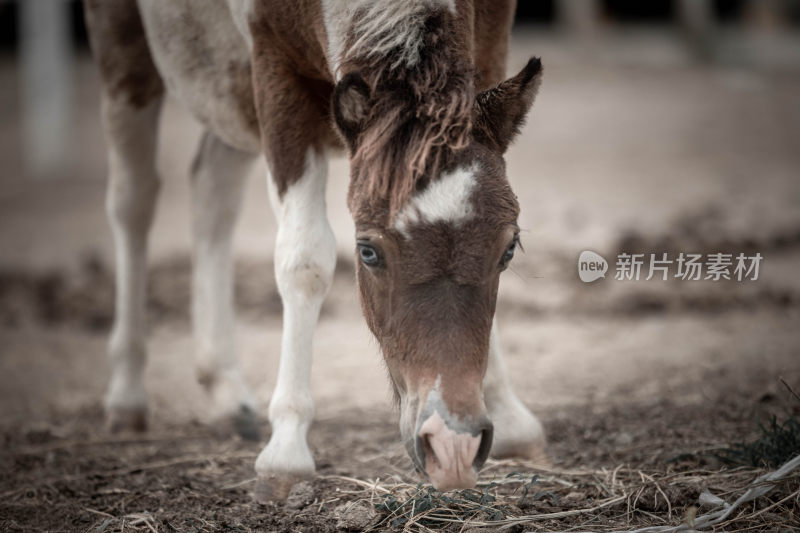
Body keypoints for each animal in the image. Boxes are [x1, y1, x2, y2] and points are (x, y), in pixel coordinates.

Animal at [87, 0, 548, 498]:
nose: (452, 446)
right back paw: (126, 395)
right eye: (368, 252)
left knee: (213, 189)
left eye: (508, 250)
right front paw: (286, 451)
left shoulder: (491, 35)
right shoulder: (274, 64)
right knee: (133, 200)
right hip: (125, 46)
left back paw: (225, 392)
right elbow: (304, 259)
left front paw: (509, 415)